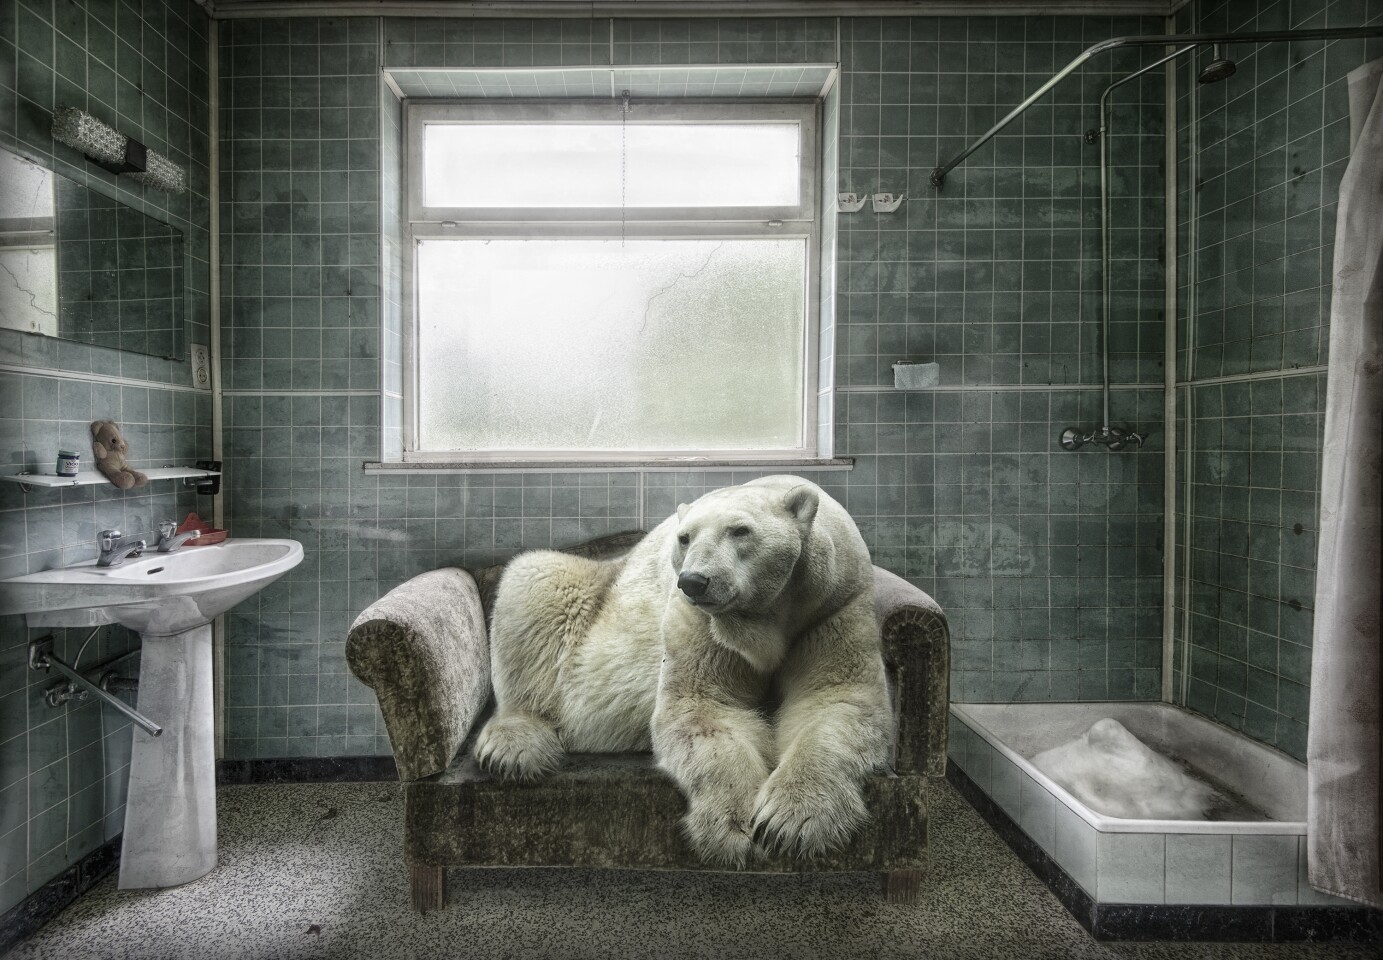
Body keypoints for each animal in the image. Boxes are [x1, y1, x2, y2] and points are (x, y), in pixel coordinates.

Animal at [472, 475, 891, 867]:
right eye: (684, 537)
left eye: (740, 530)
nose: (694, 581)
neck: (767, 620)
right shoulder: (702, 622)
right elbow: (703, 707)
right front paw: (735, 828)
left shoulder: (833, 606)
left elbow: (834, 701)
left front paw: (789, 824)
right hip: (593, 597)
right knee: (535, 583)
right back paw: (513, 748)